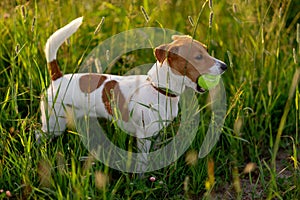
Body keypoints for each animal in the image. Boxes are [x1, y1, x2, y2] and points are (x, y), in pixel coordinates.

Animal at [40, 16, 227, 172]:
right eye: (198, 57)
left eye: (207, 51)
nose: (225, 66)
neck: (158, 88)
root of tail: (58, 78)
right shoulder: (144, 136)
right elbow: (143, 161)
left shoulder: (157, 132)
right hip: (53, 123)